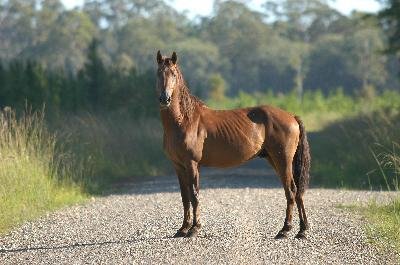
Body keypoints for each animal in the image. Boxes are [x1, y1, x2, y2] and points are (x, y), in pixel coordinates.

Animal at [155, 50, 310, 238]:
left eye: (173, 74)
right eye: (158, 73)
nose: (165, 99)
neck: (184, 120)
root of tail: (291, 116)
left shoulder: (192, 163)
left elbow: (194, 195)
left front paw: (194, 229)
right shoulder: (178, 166)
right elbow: (185, 197)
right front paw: (183, 229)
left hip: (283, 160)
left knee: (291, 191)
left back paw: (285, 230)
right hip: (274, 159)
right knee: (296, 190)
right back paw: (302, 229)